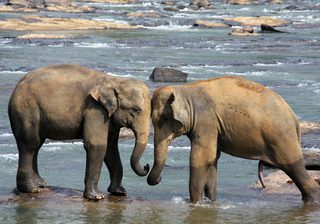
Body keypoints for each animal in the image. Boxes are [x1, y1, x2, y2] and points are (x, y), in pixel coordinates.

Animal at [8, 64, 151, 200]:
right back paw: (32, 189)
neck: (114, 80)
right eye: (136, 109)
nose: (146, 166)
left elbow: (111, 147)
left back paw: (40, 184)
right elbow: (97, 145)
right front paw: (97, 197)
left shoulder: (108, 117)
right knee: (30, 144)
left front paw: (119, 192)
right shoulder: (94, 109)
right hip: (26, 110)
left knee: (37, 145)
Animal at [148, 76, 320, 206]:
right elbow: (213, 159)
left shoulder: (206, 121)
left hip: (281, 138)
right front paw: (210, 202)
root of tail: (293, 116)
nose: (160, 178)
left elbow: (201, 157)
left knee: (294, 168)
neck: (186, 89)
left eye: (163, 119)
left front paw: (196, 204)